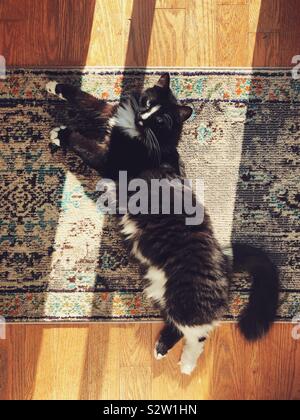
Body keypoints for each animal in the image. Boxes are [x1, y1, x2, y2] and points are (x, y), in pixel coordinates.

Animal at [46, 74, 278, 376]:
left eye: (159, 120)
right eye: (146, 102)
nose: (142, 118)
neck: (139, 133)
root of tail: (225, 258)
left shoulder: (108, 159)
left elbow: (82, 142)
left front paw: (61, 133)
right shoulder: (111, 114)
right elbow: (88, 99)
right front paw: (56, 87)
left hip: (185, 299)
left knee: (199, 333)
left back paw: (186, 364)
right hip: (162, 293)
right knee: (178, 326)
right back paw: (162, 347)